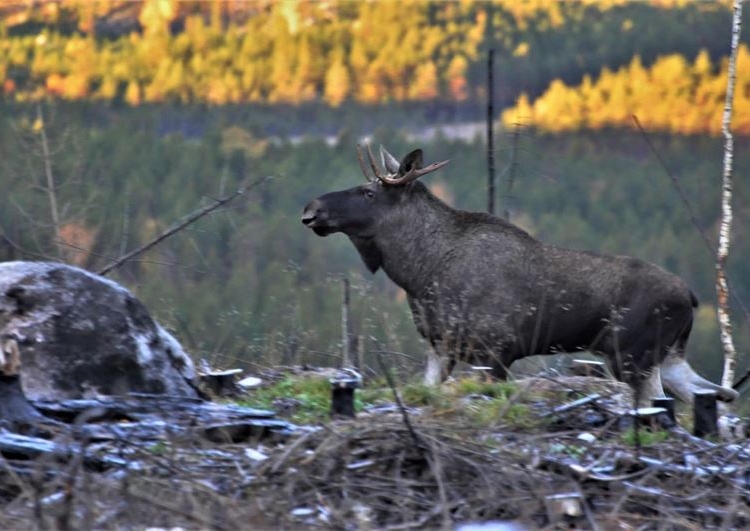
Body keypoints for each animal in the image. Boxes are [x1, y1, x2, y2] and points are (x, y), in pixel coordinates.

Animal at [302, 143, 736, 406]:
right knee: (714, 397)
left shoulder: (496, 352)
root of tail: (691, 297)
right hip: (667, 357)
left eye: (369, 192)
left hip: (631, 355)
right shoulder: (441, 347)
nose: (312, 208)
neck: (419, 273)